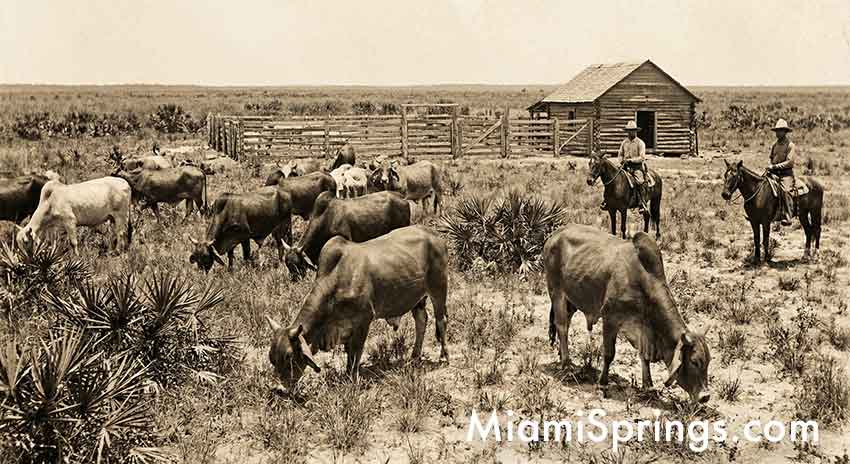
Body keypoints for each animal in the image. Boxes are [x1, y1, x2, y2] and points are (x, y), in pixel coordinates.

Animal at [266, 225, 449, 389]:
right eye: (271, 358)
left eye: (289, 357)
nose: (278, 389)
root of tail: (434, 235)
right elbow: (349, 353)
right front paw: (347, 374)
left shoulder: (363, 321)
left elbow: (356, 352)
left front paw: (352, 379)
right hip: (417, 298)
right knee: (421, 321)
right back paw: (415, 356)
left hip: (438, 288)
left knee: (441, 321)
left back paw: (444, 356)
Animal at [544, 224, 710, 404]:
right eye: (694, 362)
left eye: (708, 361)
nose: (705, 396)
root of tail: (556, 234)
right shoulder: (610, 318)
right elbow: (609, 354)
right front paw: (603, 384)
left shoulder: (642, 330)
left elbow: (644, 357)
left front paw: (648, 386)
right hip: (557, 293)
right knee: (562, 327)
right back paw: (566, 364)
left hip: (571, 301)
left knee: (565, 325)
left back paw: (562, 356)